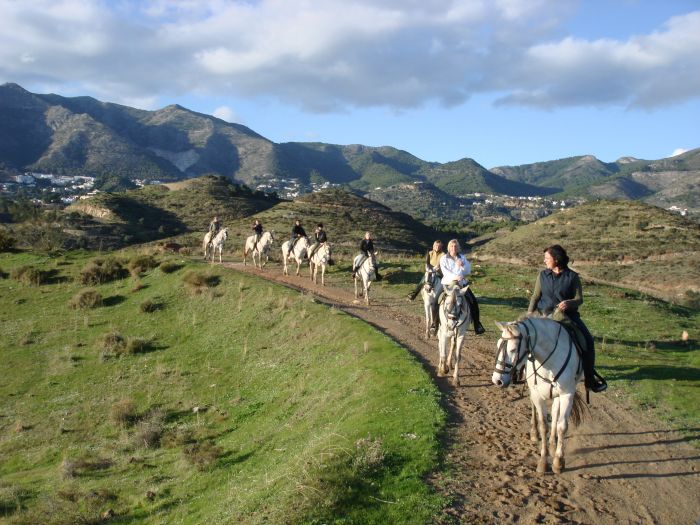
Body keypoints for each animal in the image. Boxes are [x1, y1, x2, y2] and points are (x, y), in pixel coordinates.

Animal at [494, 316, 588, 474]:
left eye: (512, 349)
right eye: (498, 345)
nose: (497, 380)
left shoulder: (567, 393)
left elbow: (562, 426)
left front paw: (558, 461)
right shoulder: (537, 395)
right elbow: (544, 425)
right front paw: (543, 462)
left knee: (555, 413)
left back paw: (553, 442)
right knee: (534, 409)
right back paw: (534, 433)